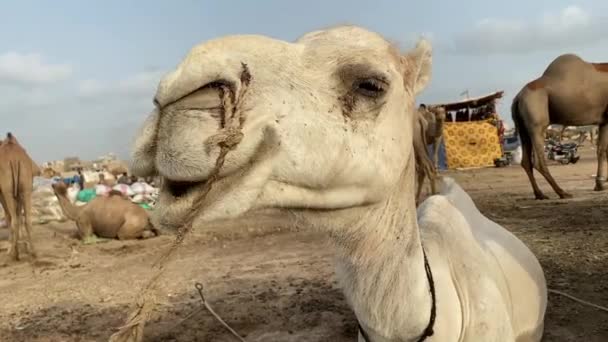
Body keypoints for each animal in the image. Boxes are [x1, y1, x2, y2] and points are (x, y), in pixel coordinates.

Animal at [512, 54, 608, 199]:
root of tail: (518, 97)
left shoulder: (604, 120)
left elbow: (601, 150)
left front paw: (600, 185)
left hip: (523, 128)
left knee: (526, 161)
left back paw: (540, 194)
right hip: (537, 121)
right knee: (539, 161)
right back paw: (562, 192)